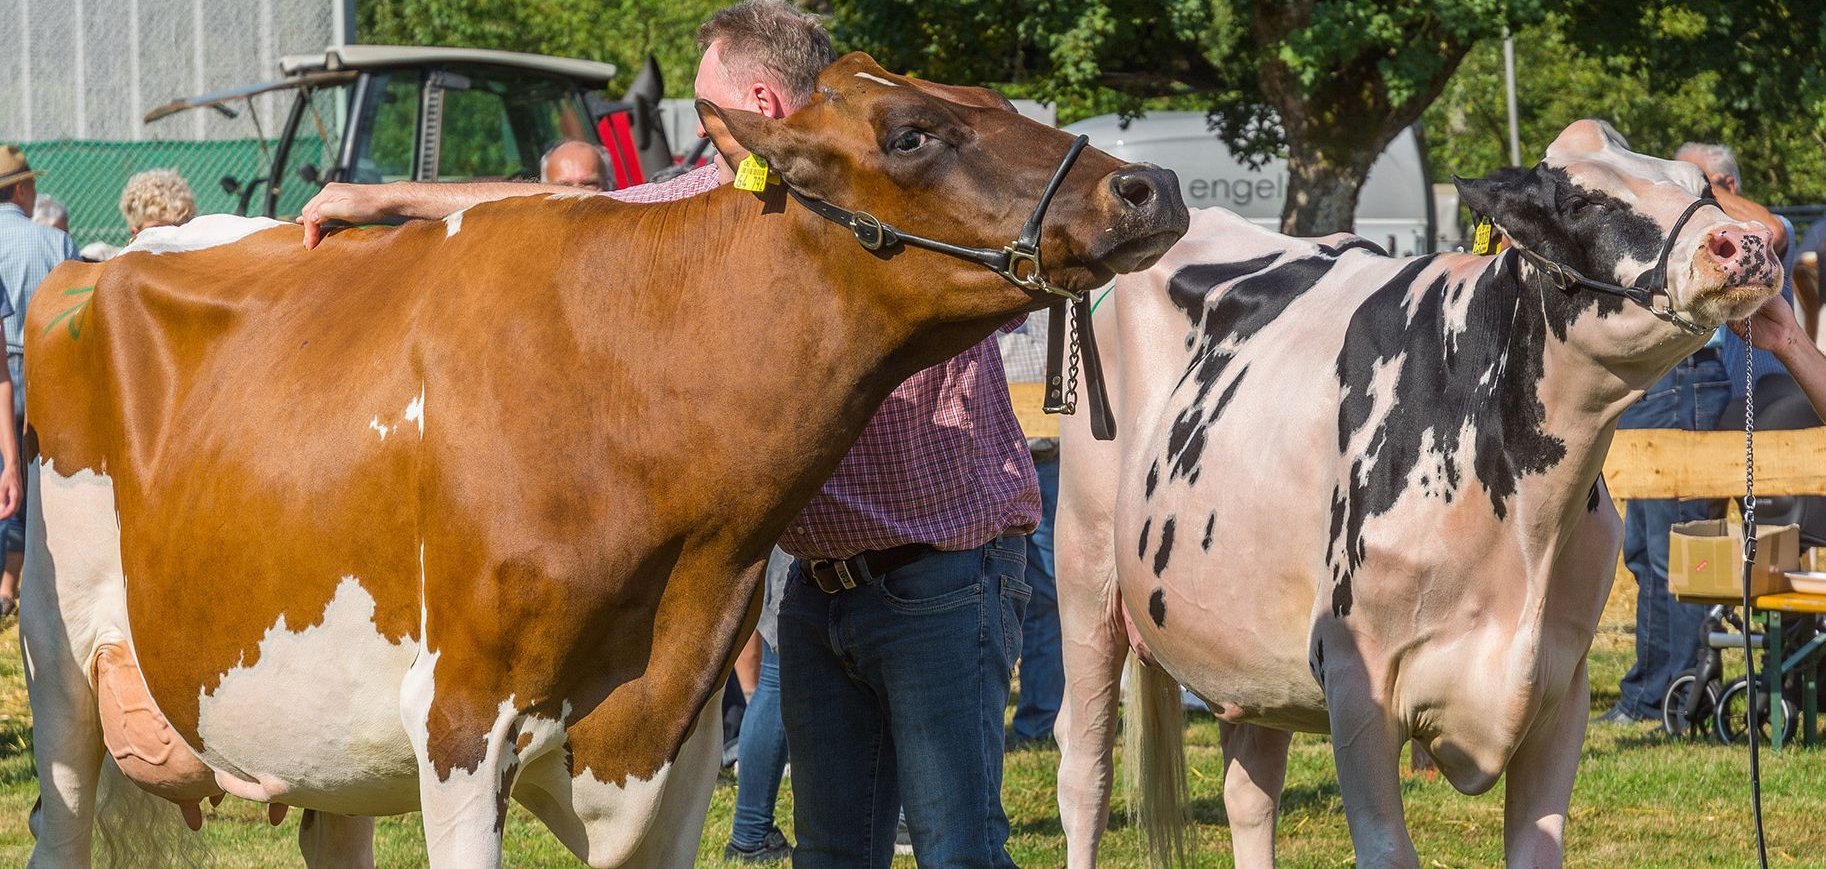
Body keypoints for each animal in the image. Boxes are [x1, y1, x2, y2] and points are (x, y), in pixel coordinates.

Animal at [19, 52, 1187, 868]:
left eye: (991, 98)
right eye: (910, 133)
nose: (1148, 186)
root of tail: (102, 259)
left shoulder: (676, 739)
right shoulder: (457, 718)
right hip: (60, 661)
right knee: (60, 817)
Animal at [1052, 119, 1782, 868]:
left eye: (1701, 187)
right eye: (1579, 202)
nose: (1747, 242)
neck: (1527, 532)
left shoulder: (1561, 688)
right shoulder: (1358, 684)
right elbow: (1386, 850)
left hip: (1243, 648)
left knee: (1250, 793)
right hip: (1084, 570)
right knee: (1085, 769)